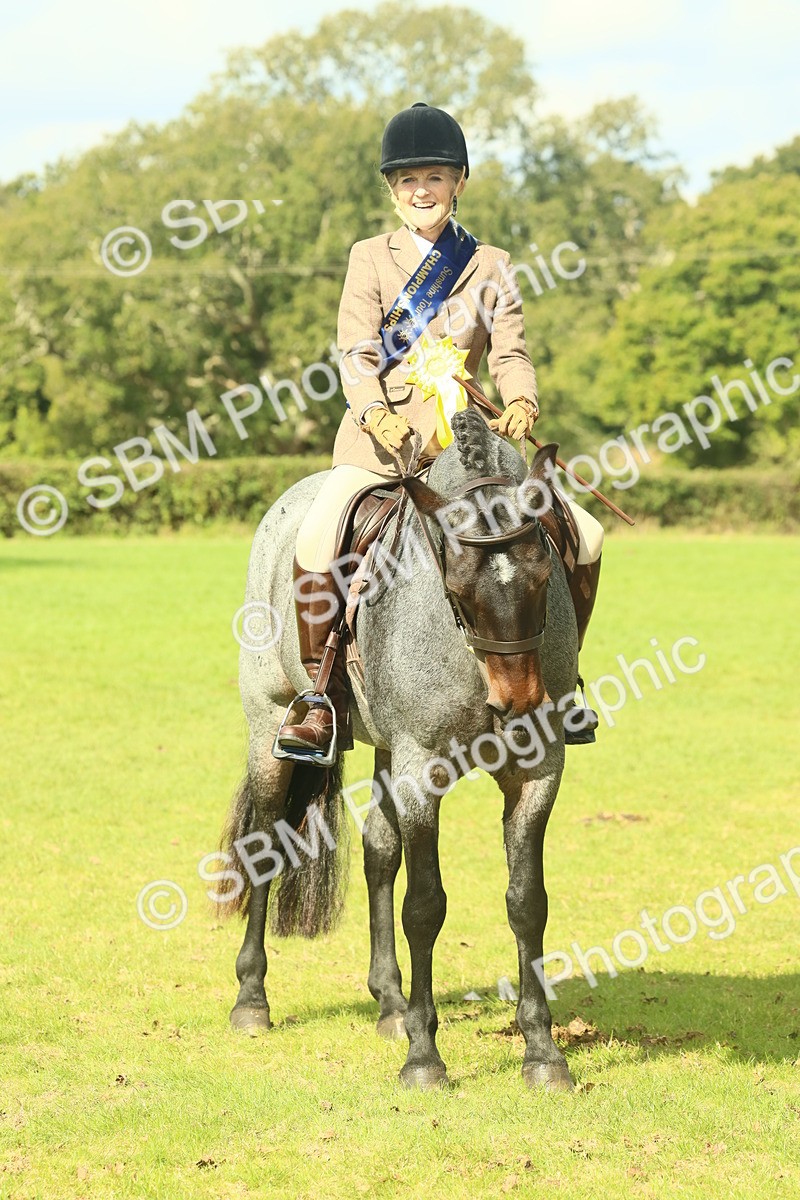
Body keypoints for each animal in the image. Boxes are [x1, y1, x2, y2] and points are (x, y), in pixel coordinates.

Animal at [218, 407, 578, 1091]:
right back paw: (252, 1000)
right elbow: (426, 906)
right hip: (270, 727)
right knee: (268, 842)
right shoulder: (420, 770)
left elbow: (528, 902)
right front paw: (425, 1058)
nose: (517, 704)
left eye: (547, 572)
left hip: (386, 750)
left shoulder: (537, 768)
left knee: (379, 854)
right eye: (457, 584)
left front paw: (543, 1052)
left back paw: (390, 1003)